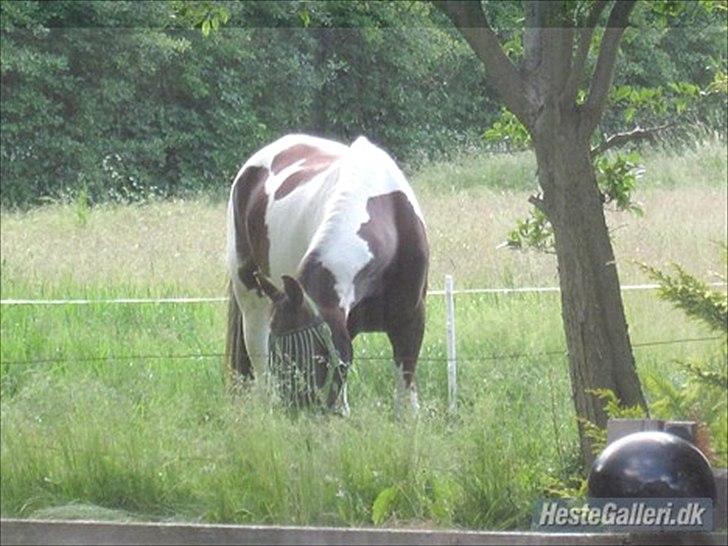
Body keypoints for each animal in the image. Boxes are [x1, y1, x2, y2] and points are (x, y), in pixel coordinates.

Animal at [223, 133, 426, 412]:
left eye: (311, 352)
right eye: (278, 353)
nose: (296, 410)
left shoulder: (410, 319)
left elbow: (405, 391)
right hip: (251, 296)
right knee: (257, 357)